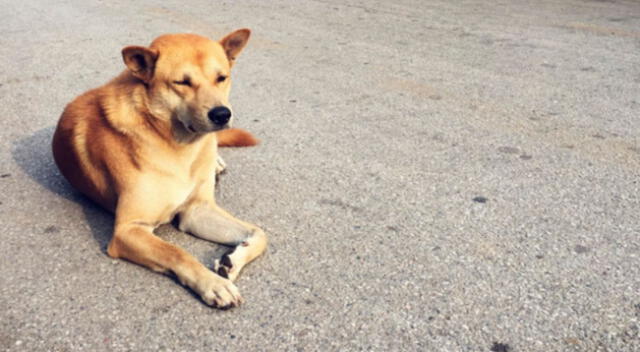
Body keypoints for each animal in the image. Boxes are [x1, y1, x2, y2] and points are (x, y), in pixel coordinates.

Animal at [51, 28, 268, 308]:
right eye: (182, 82)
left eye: (221, 78)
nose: (222, 114)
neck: (178, 147)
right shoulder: (128, 229)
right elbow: (176, 252)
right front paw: (213, 283)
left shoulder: (197, 210)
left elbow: (260, 234)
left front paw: (233, 260)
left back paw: (216, 163)